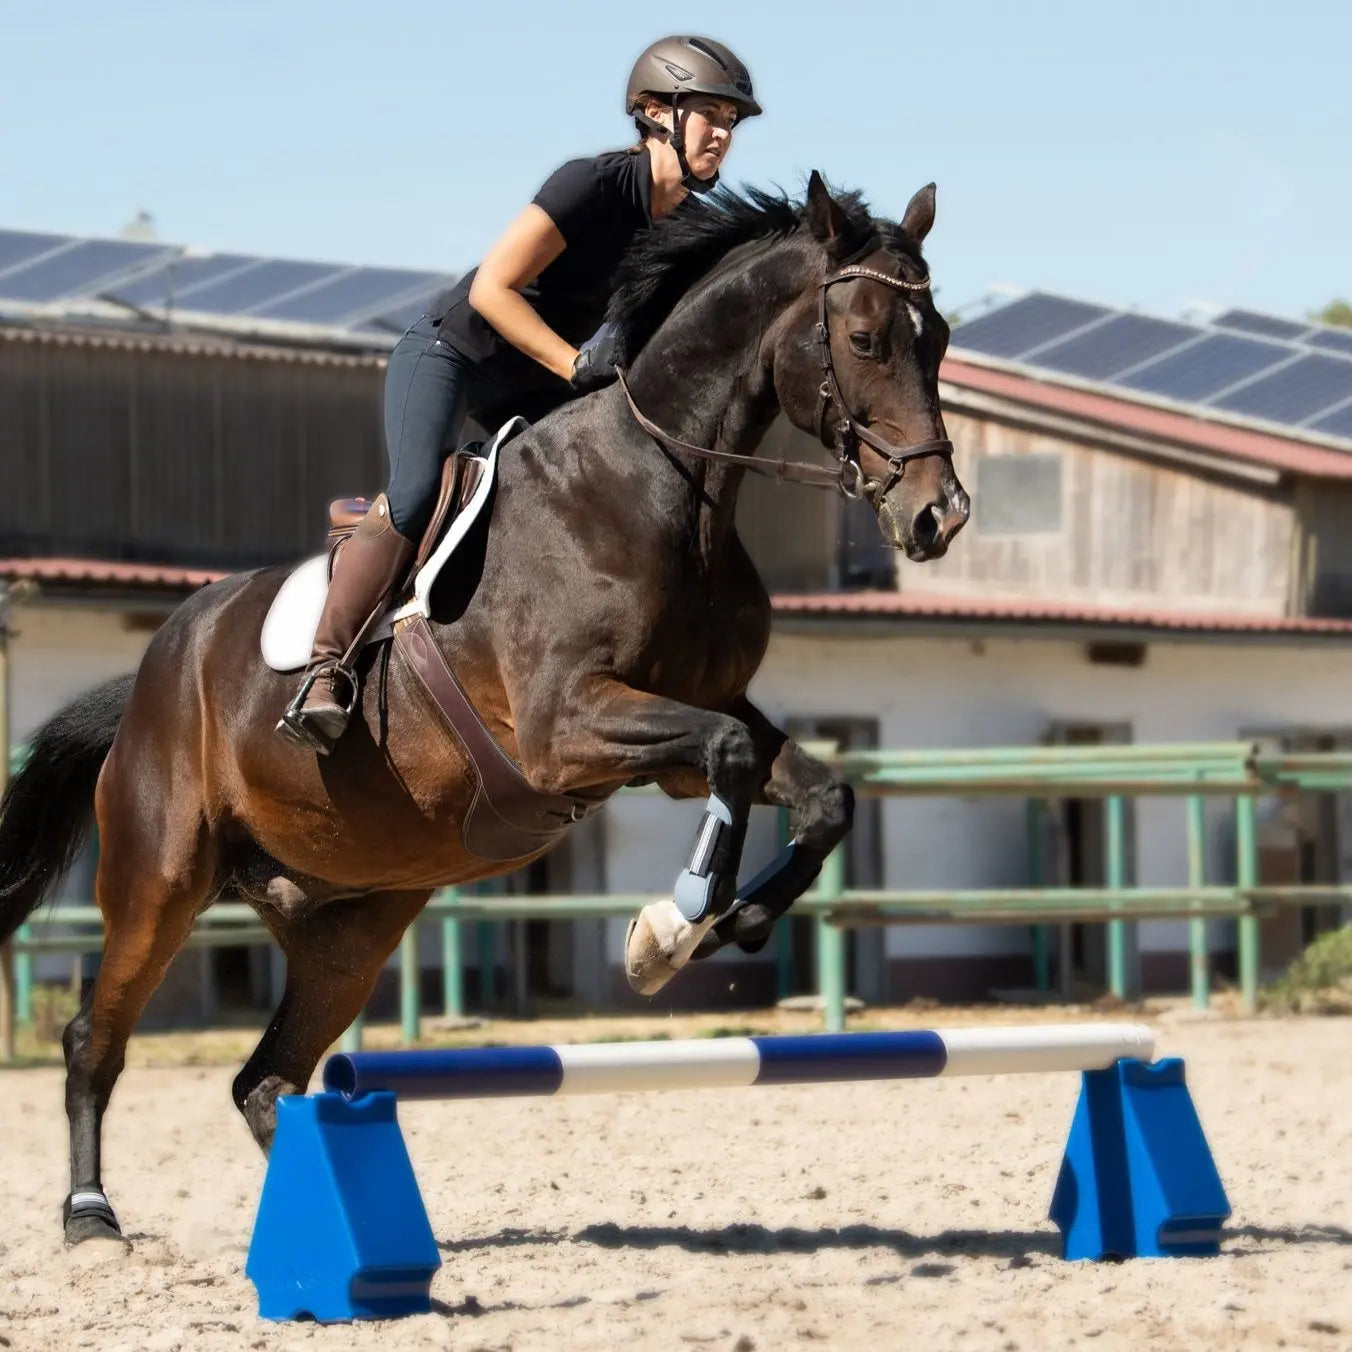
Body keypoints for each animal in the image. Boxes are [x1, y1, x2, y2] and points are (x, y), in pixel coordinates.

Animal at [0, 174, 968, 1249]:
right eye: (868, 338)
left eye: (941, 338)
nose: (937, 517)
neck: (663, 489)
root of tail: (151, 674)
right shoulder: (566, 731)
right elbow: (728, 759)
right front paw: (668, 933)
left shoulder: (692, 716)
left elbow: (812, 790)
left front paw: (736, 922)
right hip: (159, 878)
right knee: (95, 1038)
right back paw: (92, 1218)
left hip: (351, 925)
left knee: (267, 1080)